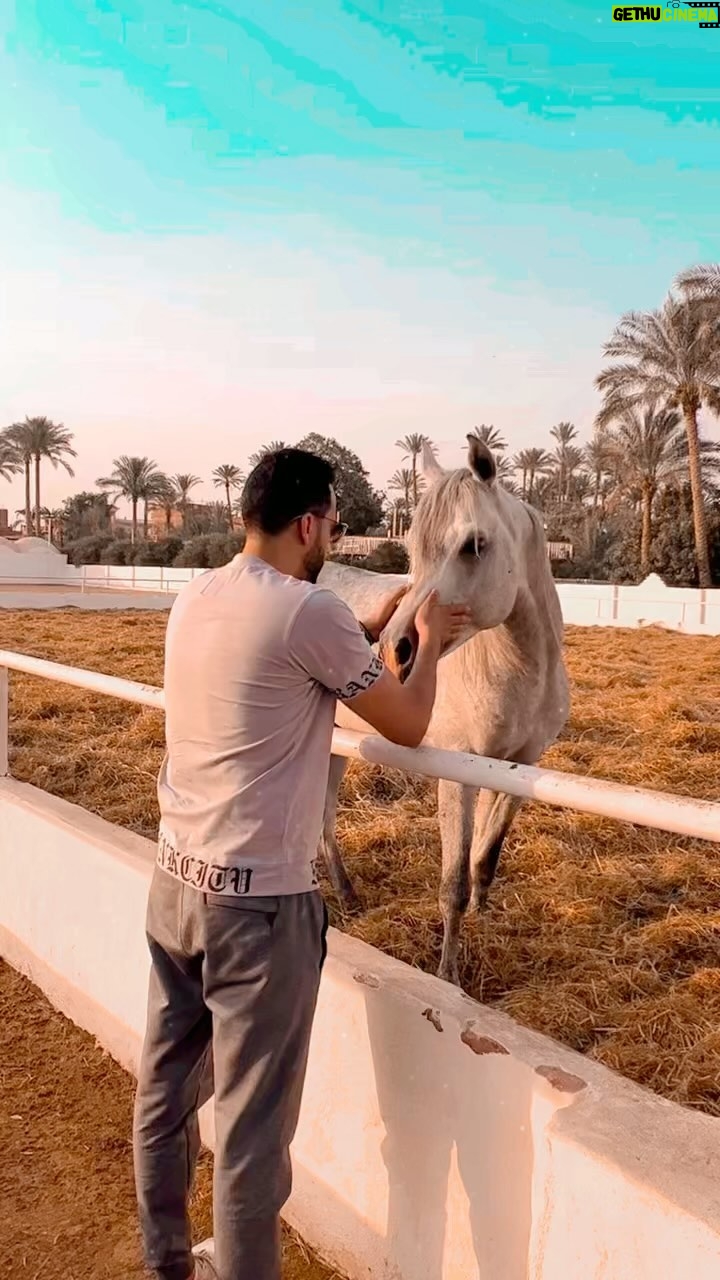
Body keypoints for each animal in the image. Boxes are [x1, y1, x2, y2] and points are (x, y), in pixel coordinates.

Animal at [317, 434, 569, 987]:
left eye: (473, 545)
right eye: (414, 547)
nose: (396, 650)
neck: (518, 671)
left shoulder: (520, 767)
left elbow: (485, 858)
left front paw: (483, 915)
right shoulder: (458, 778)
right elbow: (452, 882)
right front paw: (449, 975)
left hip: (336, 745)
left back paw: (345, 892)